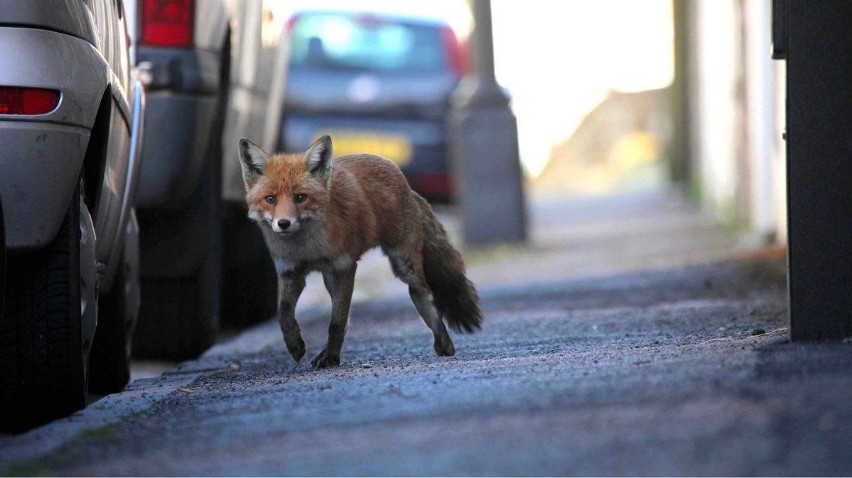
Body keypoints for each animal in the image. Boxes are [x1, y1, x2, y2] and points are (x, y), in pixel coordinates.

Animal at [236, 136, 482, 368]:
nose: (284, 223)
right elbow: (284, 314)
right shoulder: (291, 272)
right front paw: (295, 345)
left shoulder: (344, 268)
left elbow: (336, 322)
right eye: (270, 199)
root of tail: (406, 184)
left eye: (300, 197)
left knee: (425, 298)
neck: (308, 249)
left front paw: (331, 358)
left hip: (404, 267)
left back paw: (444, 343)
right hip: (332, 279)